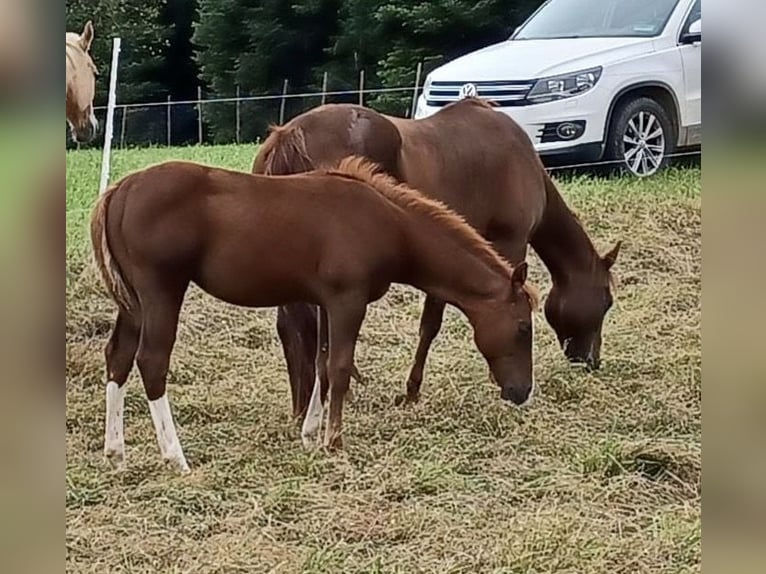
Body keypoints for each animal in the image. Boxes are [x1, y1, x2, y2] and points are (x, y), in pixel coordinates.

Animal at [91, 156, 540, 472]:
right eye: (523, 327)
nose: (520, 392)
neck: (390, 224)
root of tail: (121, 190)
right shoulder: (348, 301)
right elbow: (339, 368)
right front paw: (334, 443)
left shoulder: (326, 303)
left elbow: (323, 365)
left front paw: (310, 434)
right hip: (161, 293)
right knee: (152, 362)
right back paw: (175, 458)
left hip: (134, 302)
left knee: (118, 357)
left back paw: (115, 453)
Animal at [255, 97, 620, 418]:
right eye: (606, 302)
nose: (591, 361)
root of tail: (290, 135)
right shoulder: (507, 244)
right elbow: (435, 323)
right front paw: (416, 389)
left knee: (292, 326)